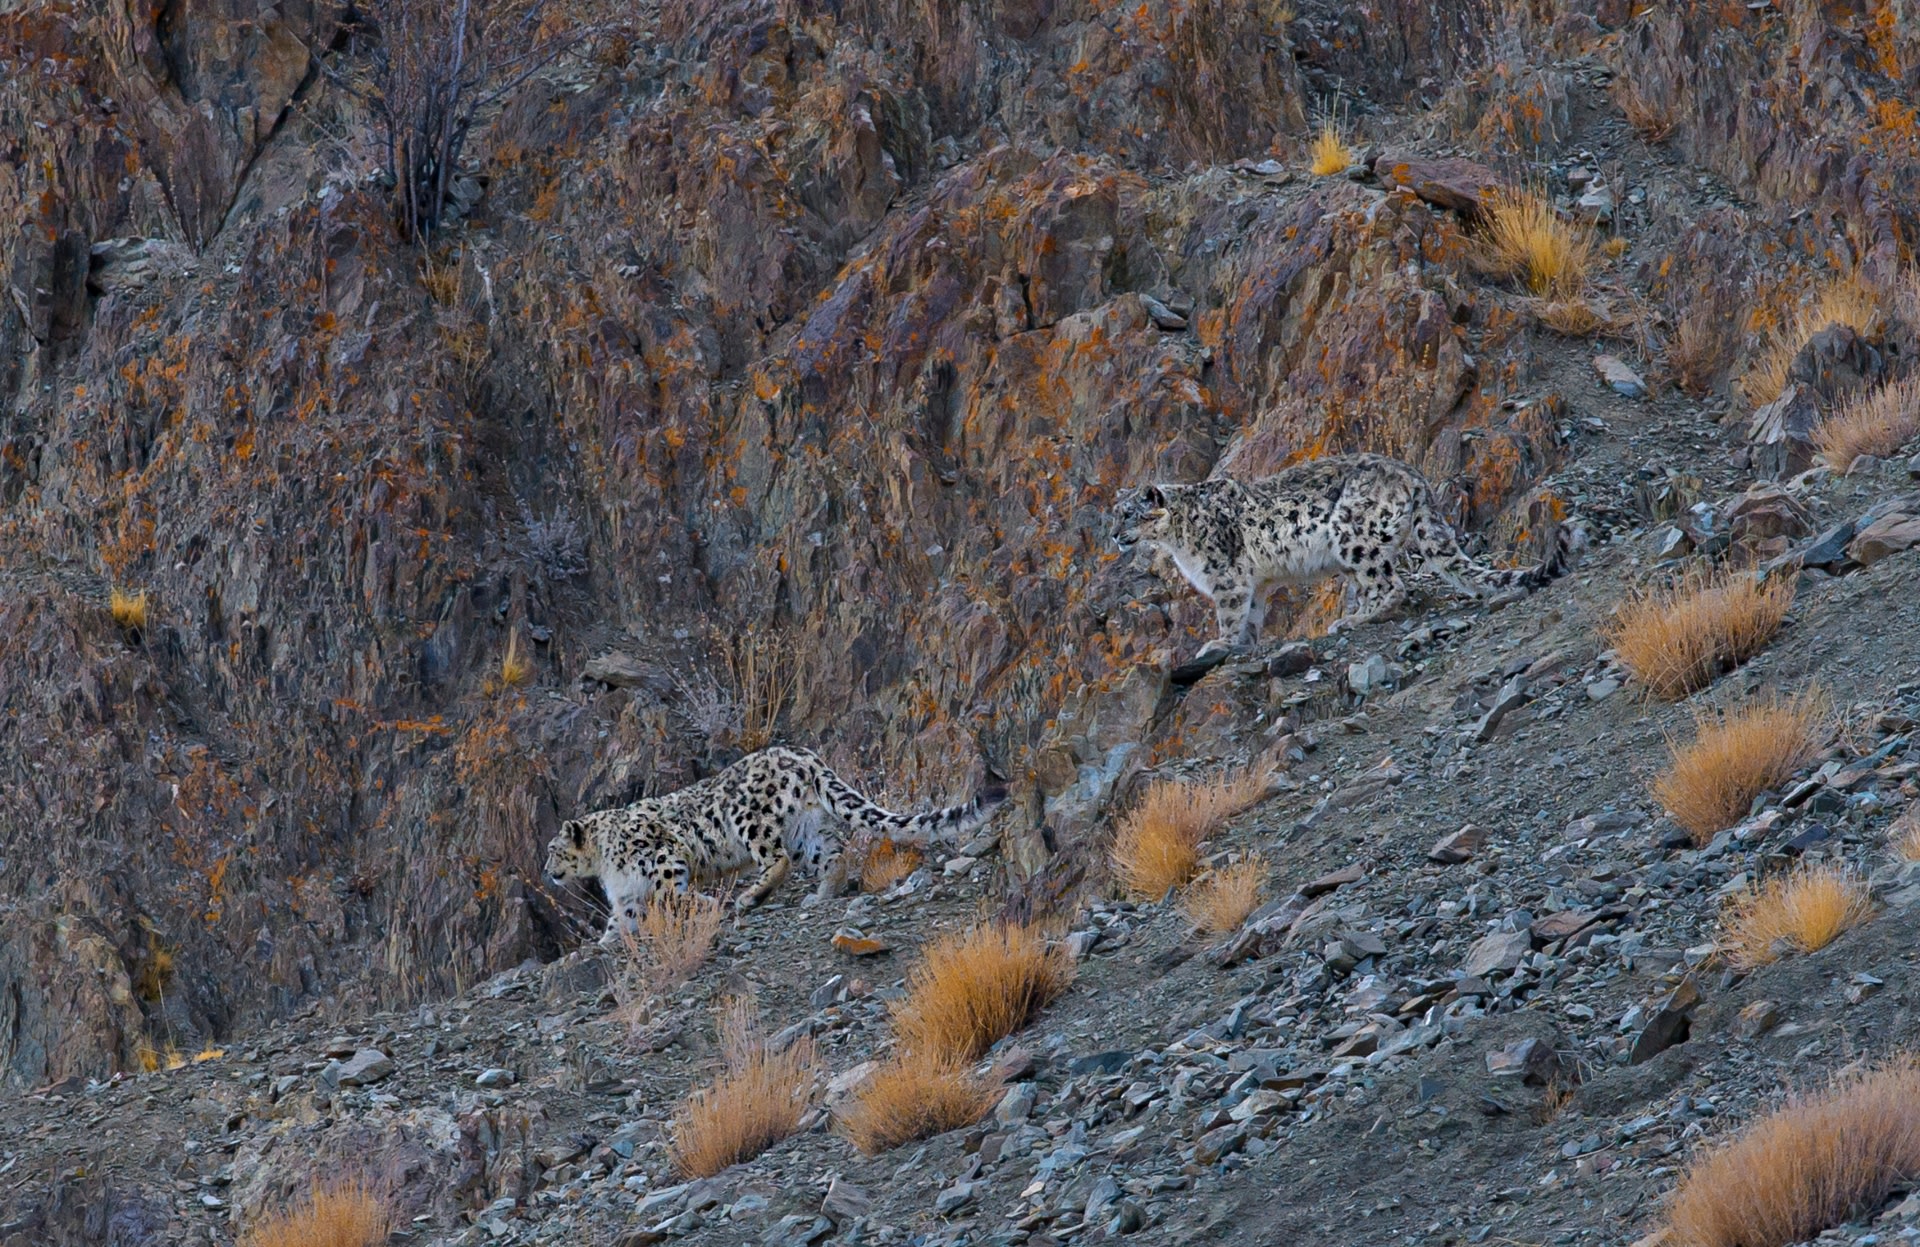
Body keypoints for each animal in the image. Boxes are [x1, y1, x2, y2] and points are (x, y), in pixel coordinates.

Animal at [542, 745, 1006, 942]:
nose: (547, 874)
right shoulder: (625, 895)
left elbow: (671, 892)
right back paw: (821, 895)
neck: (606, 865)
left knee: (776, 858)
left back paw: (750, 897)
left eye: (551, 851)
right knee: (832, 858)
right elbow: (621, 919)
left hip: (750, 818)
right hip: (807, 830)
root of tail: (805, 755)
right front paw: (603, 945)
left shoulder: (663, 856)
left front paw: (703, 905)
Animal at [1113, 453, 1583, 658]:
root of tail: (1413, 474)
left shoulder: (1227, 575)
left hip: (1353, 535)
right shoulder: (1254, 582)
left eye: (1130, 514)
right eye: (1112, 516)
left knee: (1391, 584)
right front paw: (1244, 642)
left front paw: (1221, 643)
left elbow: (1230, 612)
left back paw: (1355, 619)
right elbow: (1252, 613)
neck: (1177, 540)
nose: (1116, 536)